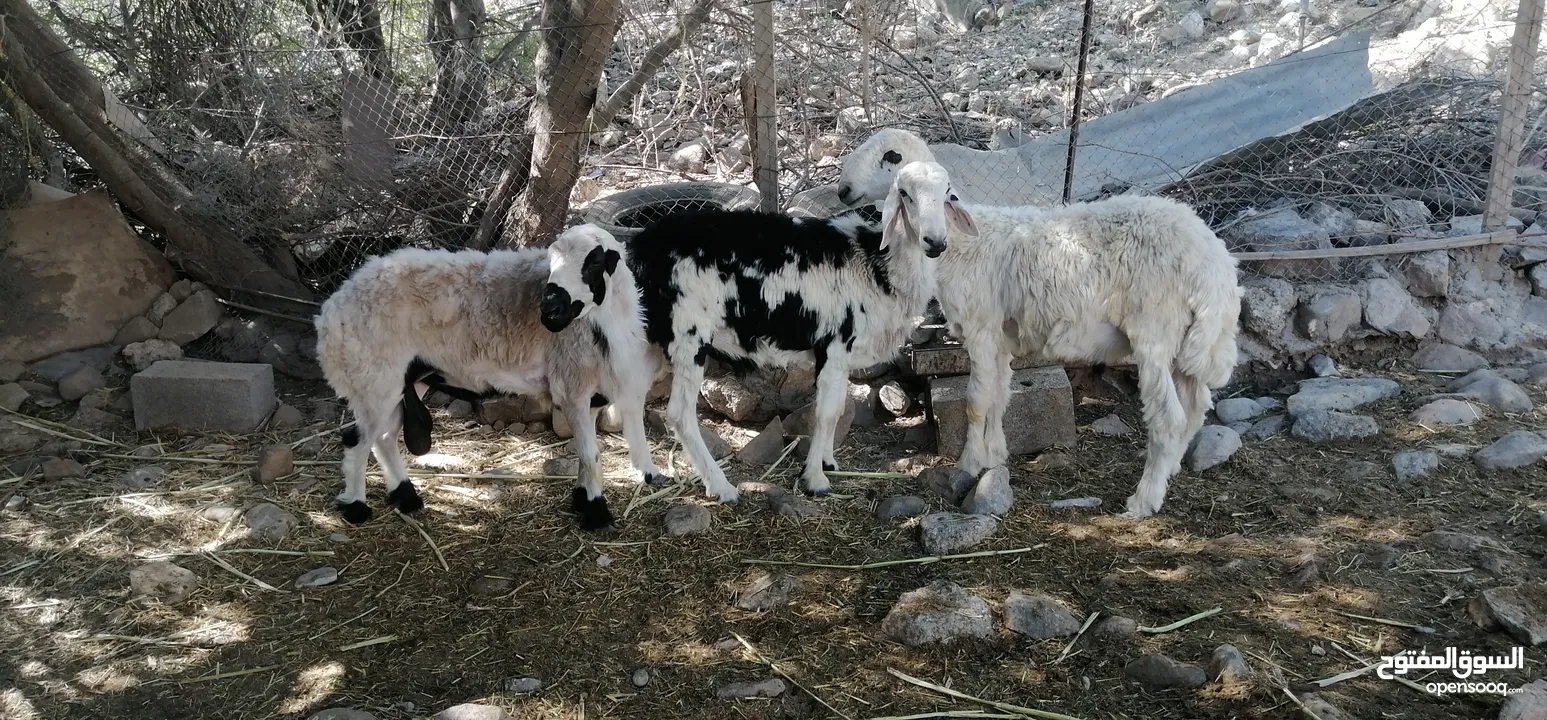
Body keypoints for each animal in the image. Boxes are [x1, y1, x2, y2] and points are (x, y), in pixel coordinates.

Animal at [317, 221, 668, 529]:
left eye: (593, 262)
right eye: (551, 263)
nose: (549, 312)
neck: (603, 324)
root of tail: (332, 308)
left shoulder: (591, 395)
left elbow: (587, 455)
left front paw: (582, 499)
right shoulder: (572, 388)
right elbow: (590, 454)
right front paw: (597, 513)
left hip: (396, 380)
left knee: (385, 438)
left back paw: (406, 497)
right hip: (372, 375)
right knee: (357, 441)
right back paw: (356, 508)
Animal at [624, 161, 965, 498]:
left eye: (948, 193)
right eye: (905, 194)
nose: (935, 243)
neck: (876, 262)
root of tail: (640, 248)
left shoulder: (841, 357)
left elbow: (839, 408)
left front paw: (828, 462)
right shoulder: (834, 346)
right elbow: (825, 413)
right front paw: (814, 479)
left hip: (647, 338)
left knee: (631, 398)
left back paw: (649, 473)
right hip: (688, 336)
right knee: (679, 414)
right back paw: (721, 487)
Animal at [835, 127, 1243, 517]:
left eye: (891, 157)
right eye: (904, 193)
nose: (842, 190)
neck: (964, 244)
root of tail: (1214, 259)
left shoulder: (980, 330)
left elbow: (976, 401)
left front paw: (968, 464)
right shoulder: (1000, 338)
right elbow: (999, 395)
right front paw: (995, 456)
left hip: (1154, 331)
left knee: (1168, 419)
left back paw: (1144, 499)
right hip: (1187, 338)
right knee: (1195, 408)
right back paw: (1169, 467)